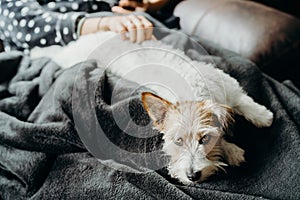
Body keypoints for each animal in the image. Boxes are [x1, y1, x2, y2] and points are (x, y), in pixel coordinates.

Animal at [31, 31, 274, 184]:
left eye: (204, 139)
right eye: (177, 141)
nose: (192, 176)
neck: (191, 91)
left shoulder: (226, 85)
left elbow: (243, 100)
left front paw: (262, 116)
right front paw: (232, 148)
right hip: (71, 58)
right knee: (55, 51)